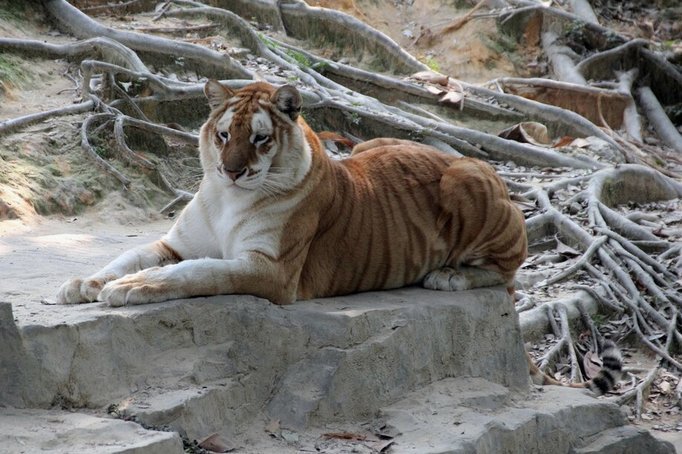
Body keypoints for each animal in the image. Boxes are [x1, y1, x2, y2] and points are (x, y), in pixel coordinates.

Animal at [56, 80, 620, 393]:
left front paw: (131, 290)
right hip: (375, 141)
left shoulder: (271, 270)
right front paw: (82, 284)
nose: (231, 170)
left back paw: (448, 278)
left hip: (471, 181)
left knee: (507, 273)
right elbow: (130, 255)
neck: (226, 198)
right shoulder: (180, 242)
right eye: (223, 134)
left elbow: (194, 274)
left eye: (259, 139)